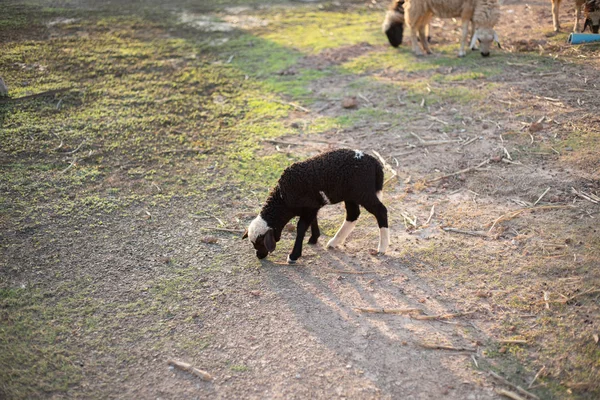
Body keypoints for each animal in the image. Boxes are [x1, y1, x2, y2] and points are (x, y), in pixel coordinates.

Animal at [244, 148, 390, 264]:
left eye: (260, 242)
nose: (259, 256)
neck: (282, 197)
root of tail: (375, 163)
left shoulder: (308, 208)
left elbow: (301, 228)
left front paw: (293, 256)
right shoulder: (311, 206)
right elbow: (312, 221)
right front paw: (314, 238)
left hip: (363, 192)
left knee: (381, 211)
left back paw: (382, 248)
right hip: (351, 195)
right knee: (353, 215)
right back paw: (334, 242)